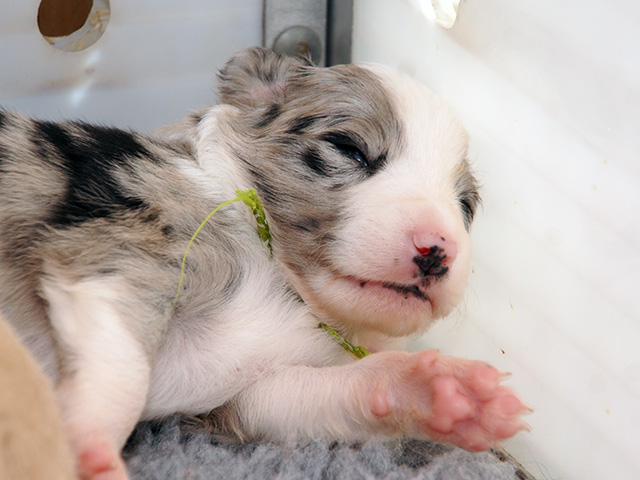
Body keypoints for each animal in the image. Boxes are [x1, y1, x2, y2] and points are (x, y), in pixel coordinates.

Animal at [0, 47, 525, 480]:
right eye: (348, 148)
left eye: (466, 206)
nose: (437, 251)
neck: (284, 282)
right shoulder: (116, 244)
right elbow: (122, 365)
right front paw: (89, 452)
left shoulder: (247, 396)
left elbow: (330, 390)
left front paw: (442, 390)